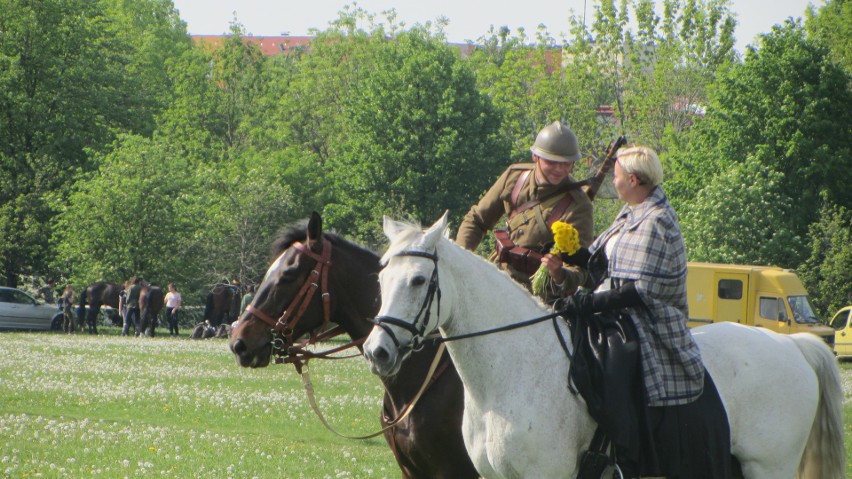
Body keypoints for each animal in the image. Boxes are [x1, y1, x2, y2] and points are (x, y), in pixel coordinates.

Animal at [364, 215, 844, 479]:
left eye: (418, 280)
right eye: (381, 277)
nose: (377, 352)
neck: (512, 370)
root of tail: (793, 347)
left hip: (769, 467)